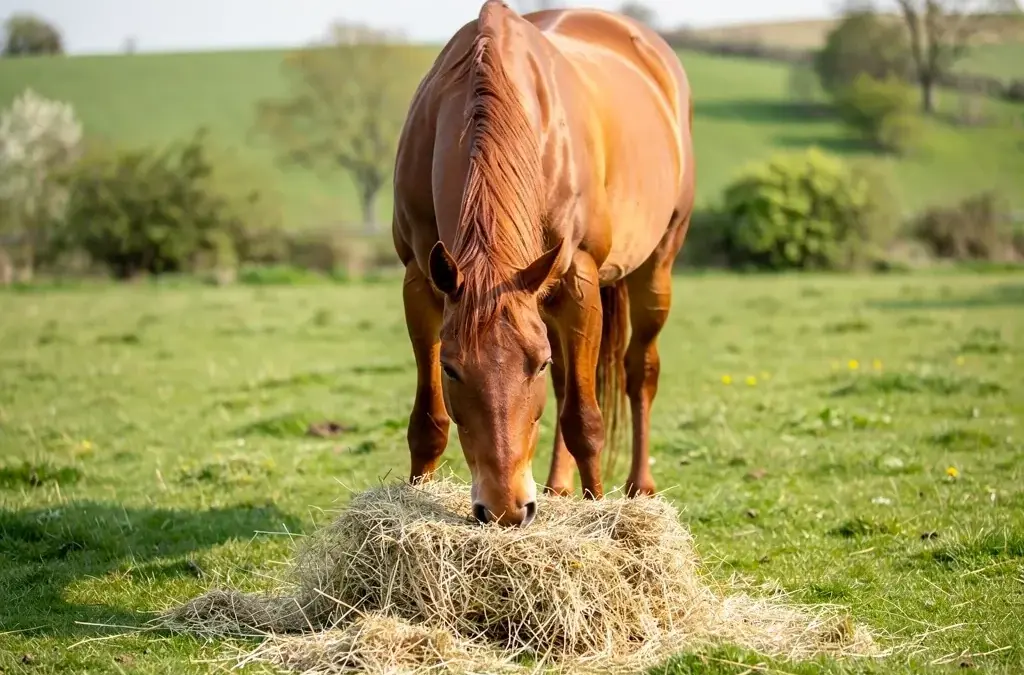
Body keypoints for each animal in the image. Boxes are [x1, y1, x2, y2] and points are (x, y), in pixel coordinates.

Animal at [392, 0, 694, 526]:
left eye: (534, 364)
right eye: (451, 368)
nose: (506, 510)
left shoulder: (579, 280)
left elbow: (584, 420)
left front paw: (601, 520)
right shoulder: (420, 280)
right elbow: (428, 422)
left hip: (656, 269)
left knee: (640, 372)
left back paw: (640, 487)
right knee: (569, 385)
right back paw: (557, 486)